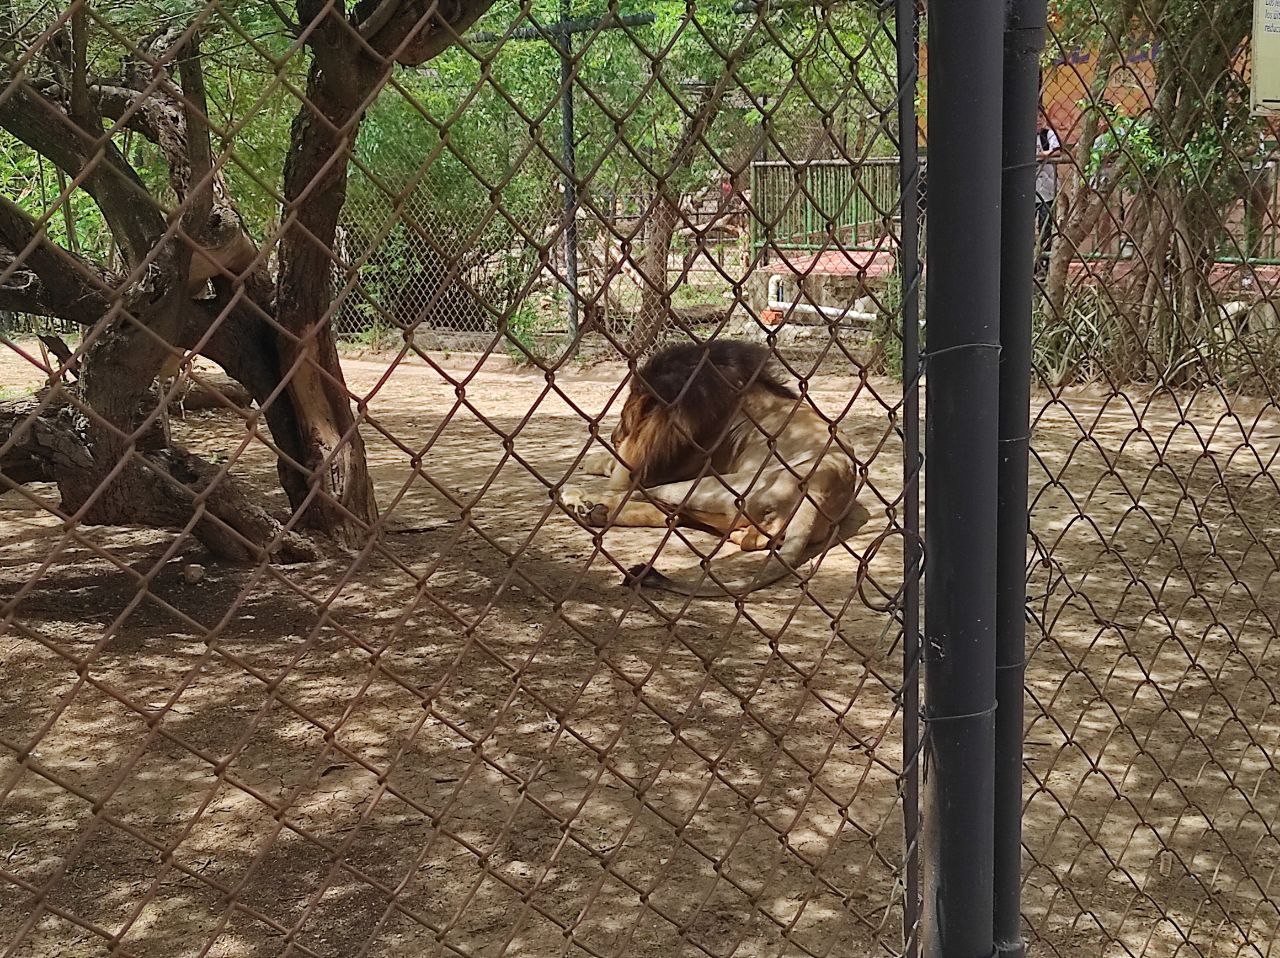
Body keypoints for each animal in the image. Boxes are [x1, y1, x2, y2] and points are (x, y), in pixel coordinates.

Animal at [560, 340, 870, 599]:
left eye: (625, 415)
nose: (614, 436)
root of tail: (816, 492)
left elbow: (621, 472)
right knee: (682, 519)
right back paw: (596, 511)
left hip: (710, 485)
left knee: (645, 498)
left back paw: (580, 499)